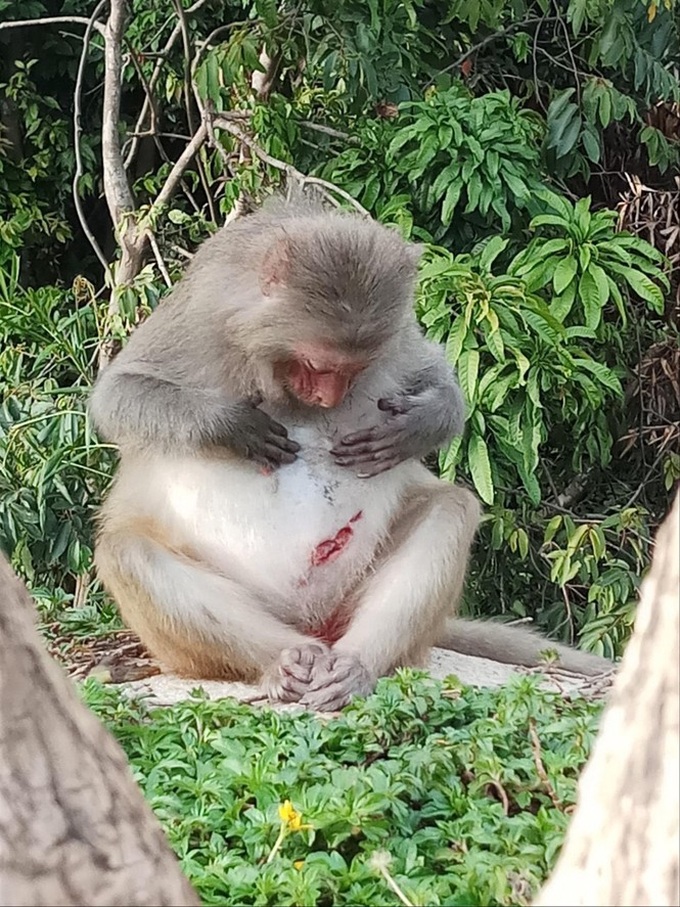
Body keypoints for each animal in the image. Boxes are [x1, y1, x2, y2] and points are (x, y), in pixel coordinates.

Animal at [89, 197, 612, 711]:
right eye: (316, 365)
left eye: (355, 369)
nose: (329, 398)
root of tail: (312, 624)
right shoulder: (199, 319)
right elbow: (117, 396)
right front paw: (235, 426)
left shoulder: (399, 337)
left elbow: (438, 379)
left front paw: (417, 424)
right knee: (127, 552)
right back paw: (284, 659)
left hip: (350, 602)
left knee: (450, 508)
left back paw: (353, 666)